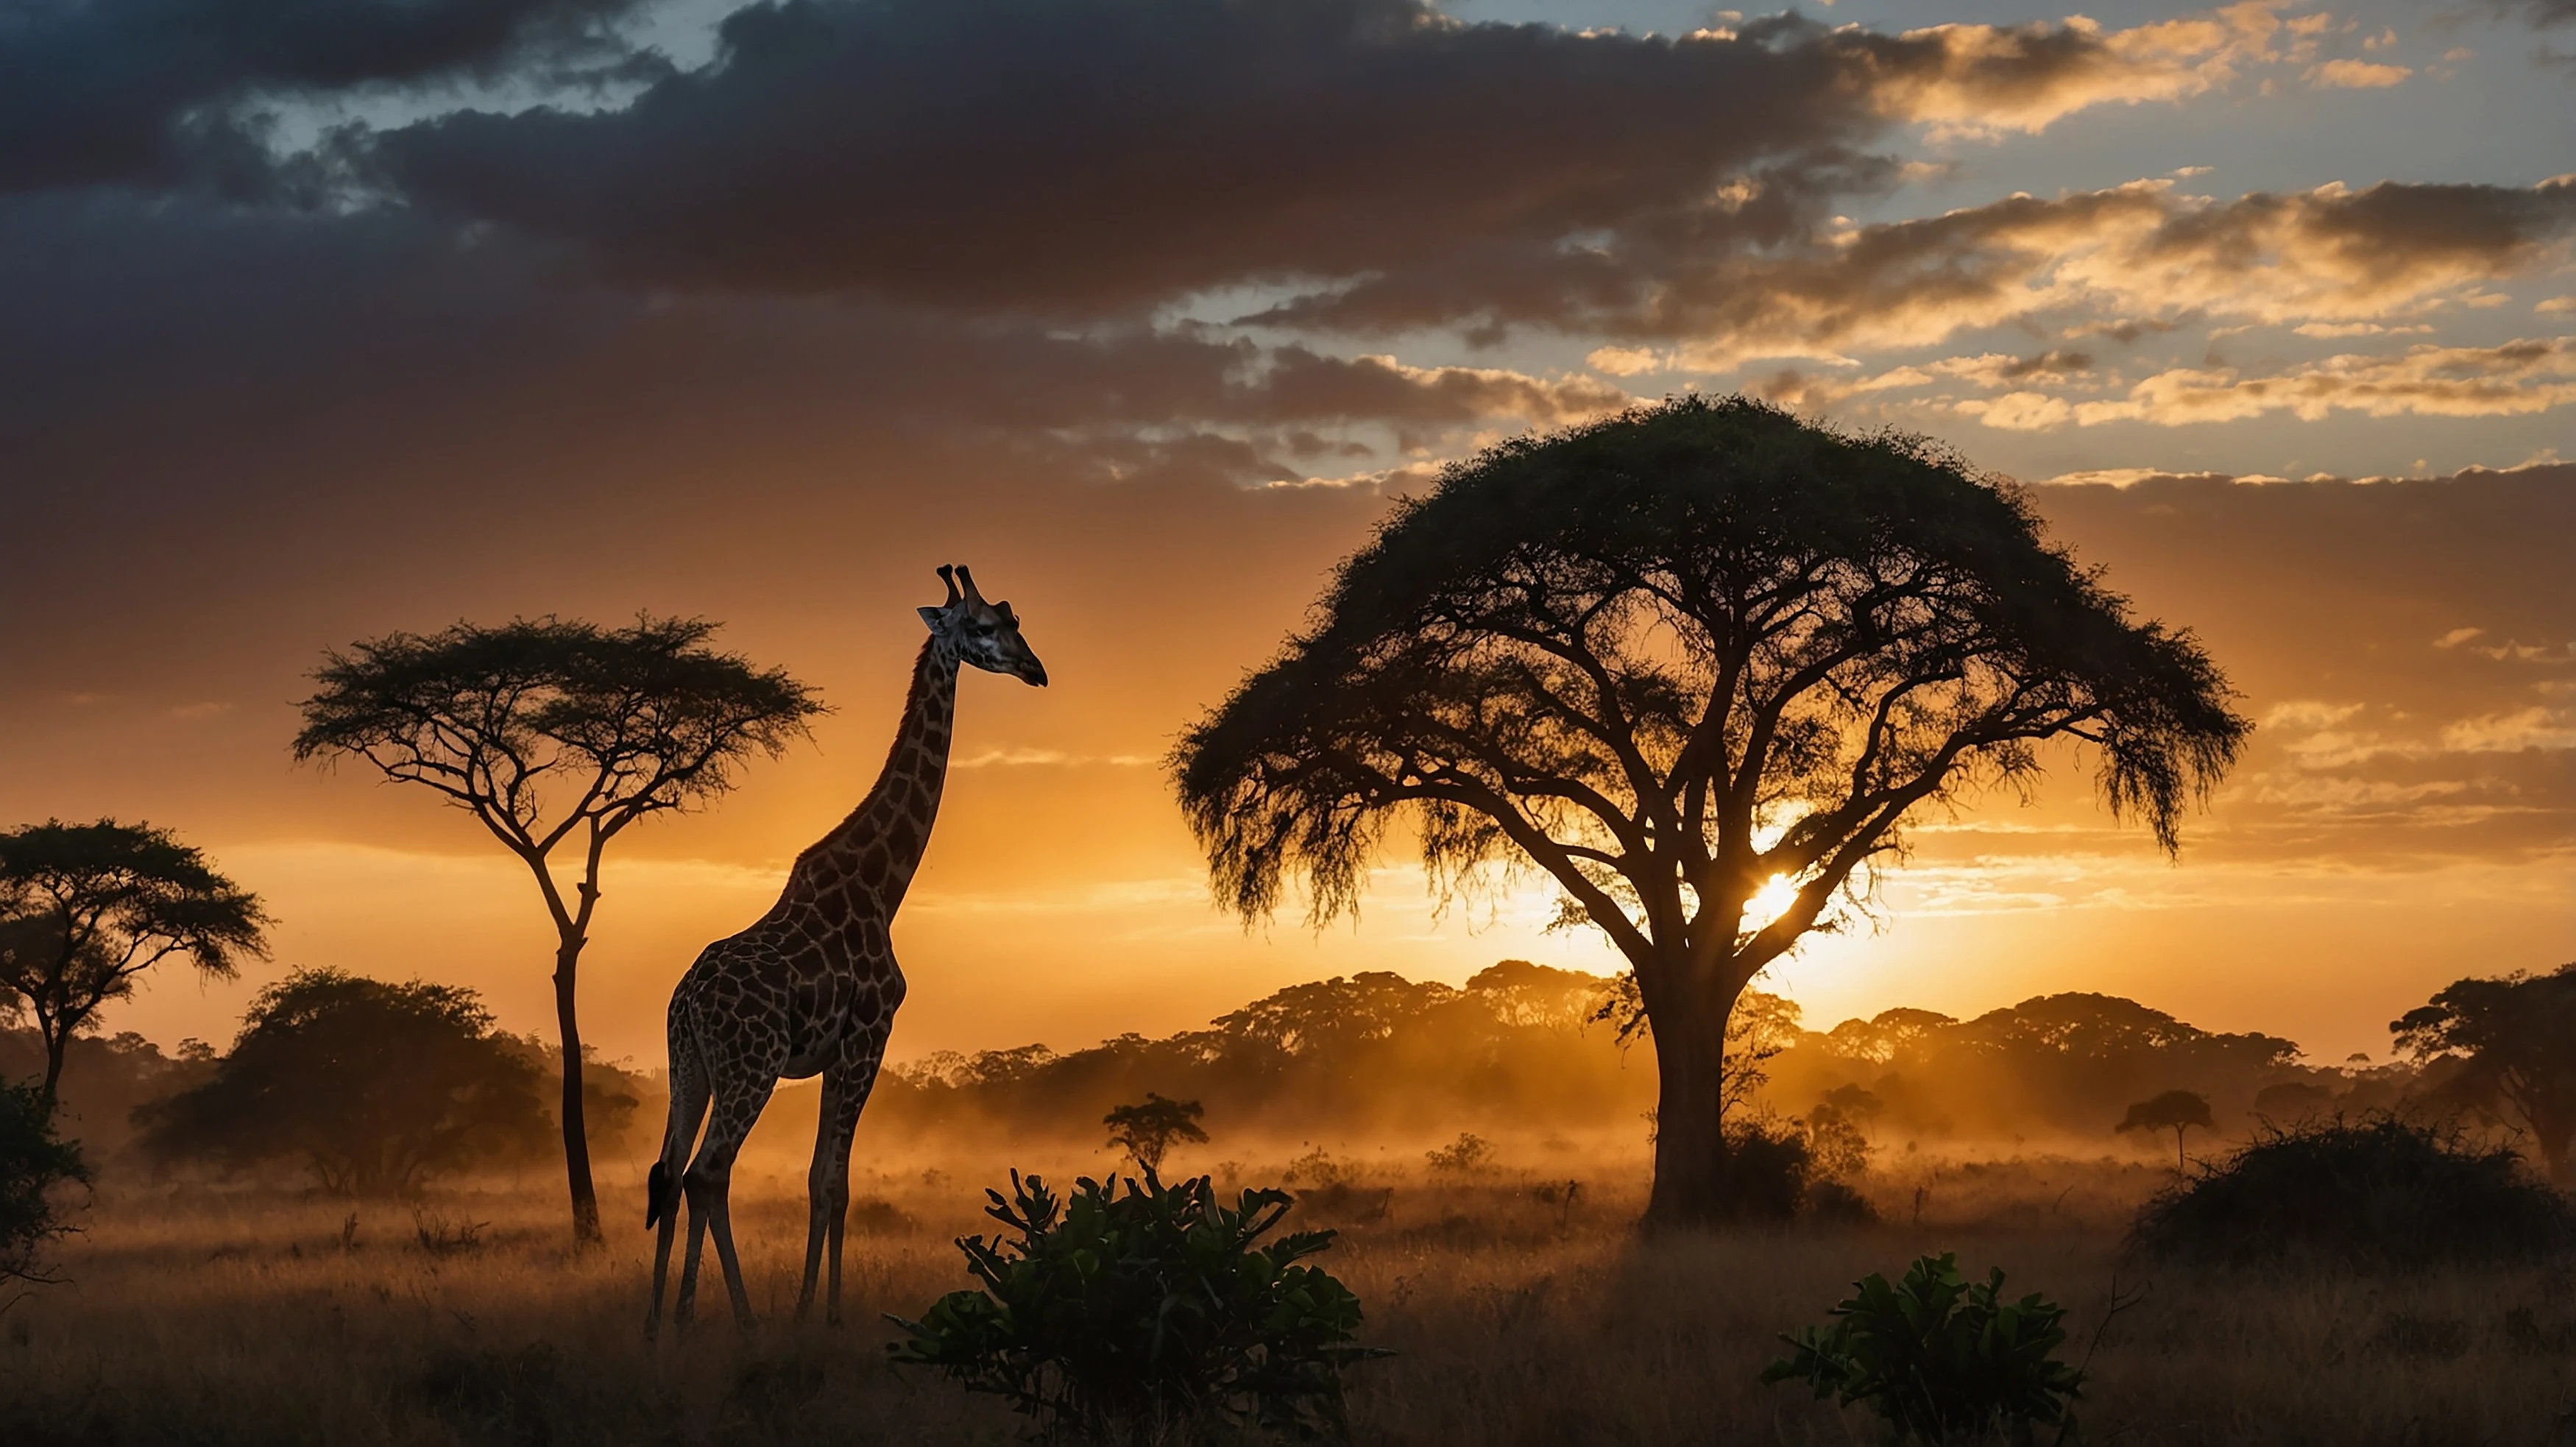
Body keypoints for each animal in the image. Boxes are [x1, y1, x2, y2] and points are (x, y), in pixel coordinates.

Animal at [645, 564, 1047, 1336]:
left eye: (1015, 619)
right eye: (985, 626)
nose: (1037, 670)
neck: (881, 885)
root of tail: (686, 1001)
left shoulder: (838, 1052)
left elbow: (817, 1180)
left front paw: (812, 1310)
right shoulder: (869, 1037)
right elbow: (836, 1184)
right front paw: (819, 1318)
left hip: (690, 1066)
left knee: (669, 1173)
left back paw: (661, 1330)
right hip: (752, 1066)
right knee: (708, 1172)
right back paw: (740, 1324)